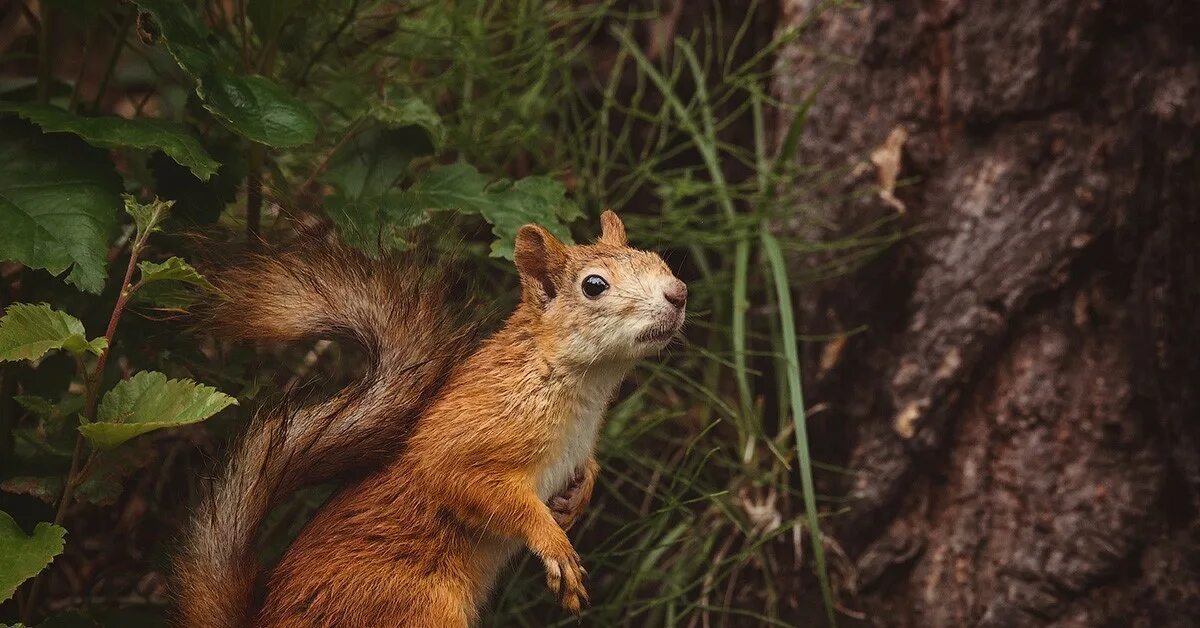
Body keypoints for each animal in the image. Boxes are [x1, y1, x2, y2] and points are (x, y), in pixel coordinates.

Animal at [174, 212, 691, 628]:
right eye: (594, 285)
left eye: (655, 259)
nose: (679, 292)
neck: (578, 388)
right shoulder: (470, 435)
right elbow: (470, 485)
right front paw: (552, 542)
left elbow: (586, 469)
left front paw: (578, 496)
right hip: (409, 609)